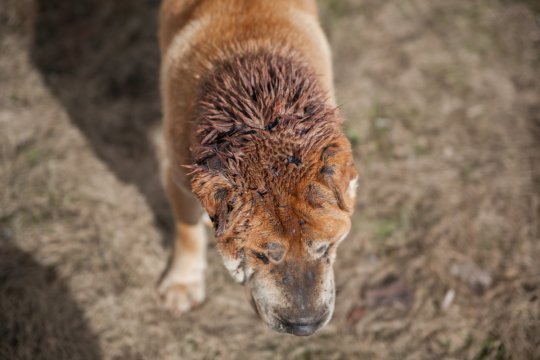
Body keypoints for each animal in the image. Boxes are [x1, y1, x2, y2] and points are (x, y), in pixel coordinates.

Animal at [158, 0, 356, 338]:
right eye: (260, 254)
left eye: (325, 247)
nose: (305, 326)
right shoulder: (177, 177)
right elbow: (187, 231)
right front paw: (183, 282)